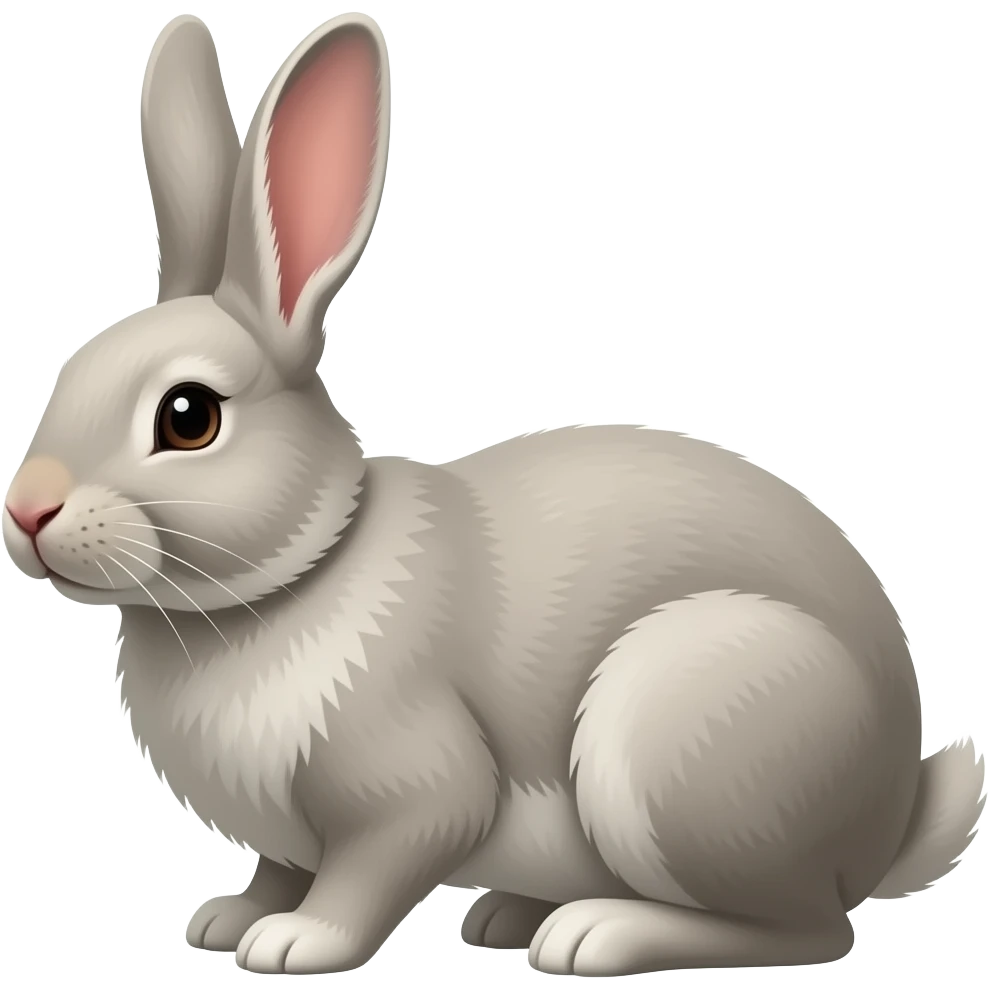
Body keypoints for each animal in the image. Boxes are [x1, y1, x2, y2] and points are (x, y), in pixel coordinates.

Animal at [2, 10, 986, 978]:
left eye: (188, 417)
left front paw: (292, 943)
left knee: (808, 931)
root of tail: (888, 820)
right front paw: (225, 919)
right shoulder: (287, 838)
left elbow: (374, 867)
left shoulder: (412, 790)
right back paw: (509, 914)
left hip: (678, 734)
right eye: (69, 370)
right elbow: (279, 868)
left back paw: (594, 935)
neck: (300, 572)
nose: (27, 511)